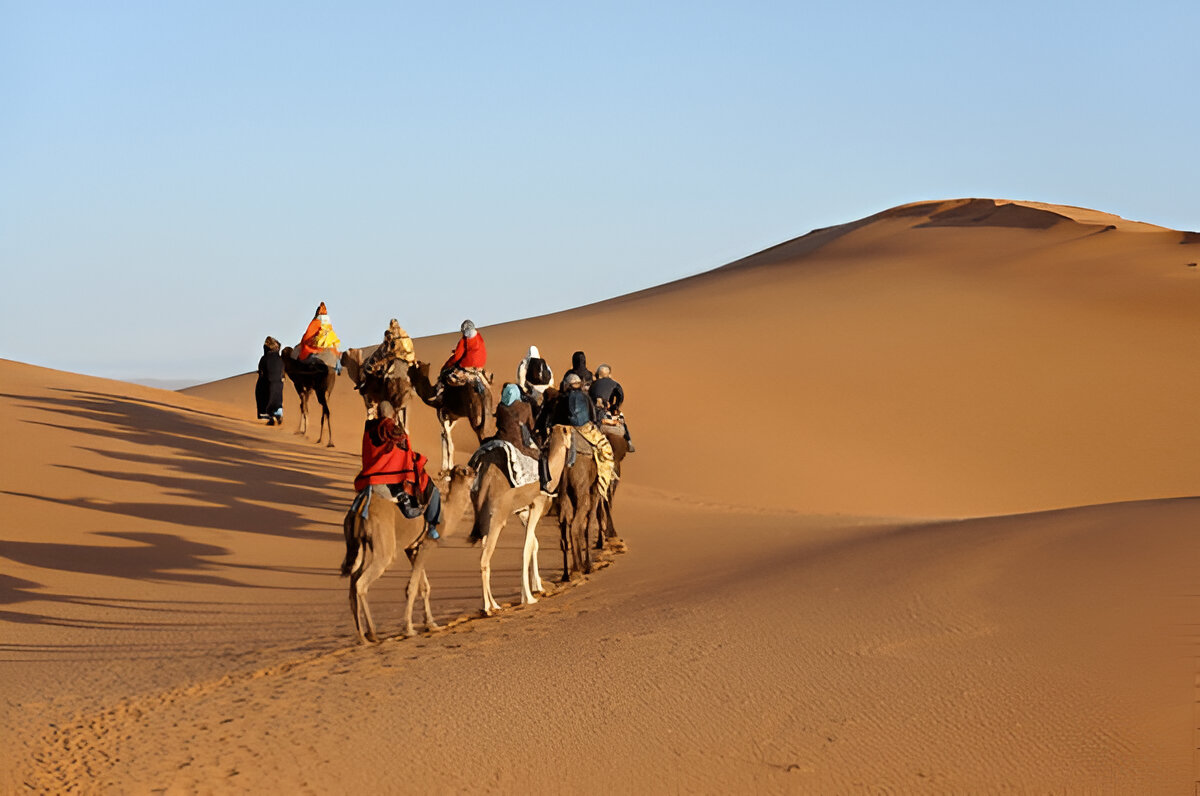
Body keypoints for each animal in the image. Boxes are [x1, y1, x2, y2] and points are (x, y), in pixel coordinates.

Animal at [340, 465, 476, 643]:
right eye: (466, 470)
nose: (475, 471)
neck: (446, 513)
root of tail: (361, 506)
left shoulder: (412, 549)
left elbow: (424, 587)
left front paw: (432, 624)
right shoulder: (426, 545)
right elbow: (411, 588)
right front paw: (409, 629)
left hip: (357, 542)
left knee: (353, 580)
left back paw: (362, 637)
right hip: (384, 547)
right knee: (362, 582)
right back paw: (372, 633)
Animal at [469, 425, 572, 615]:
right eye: (569, 431)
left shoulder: (523, 510)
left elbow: (533, 544)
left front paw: (538, 587)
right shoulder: (537, 504)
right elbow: (526, 548)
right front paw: (529, 598)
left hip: (483, 517)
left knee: (484, 551)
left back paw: (494, 604)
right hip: (498, 517)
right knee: (485, 557)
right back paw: (487, 608)